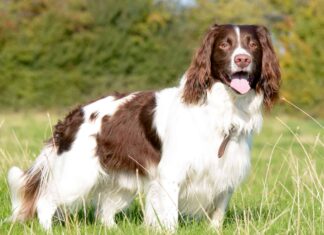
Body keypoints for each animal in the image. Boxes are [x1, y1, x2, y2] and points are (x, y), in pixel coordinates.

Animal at [7, 24, 280, 231]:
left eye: (253, 45)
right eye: (224, 45)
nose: (242, 59)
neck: (223, 110)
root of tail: (74, 115)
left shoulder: (226, 175)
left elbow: (218, 215)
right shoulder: (171, 175)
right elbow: (169, 218)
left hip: (119, 180)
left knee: (105, 213)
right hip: (77, 175)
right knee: (45, 201)